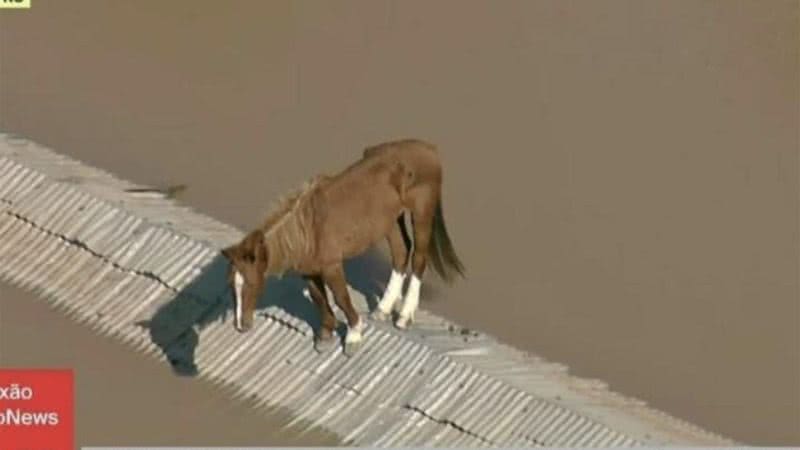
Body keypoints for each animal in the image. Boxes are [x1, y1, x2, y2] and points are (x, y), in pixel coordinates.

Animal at [222, 139, 466, 356]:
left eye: (250, 284)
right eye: (231, 286)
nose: (240, 326)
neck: (307, 230)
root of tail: (429, 148)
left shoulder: (332, 266)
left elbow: (341, 297)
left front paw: (353, 337)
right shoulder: (309, 271)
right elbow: (319, 298)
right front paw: (325, 336)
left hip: (421, 213)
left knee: (418, 258)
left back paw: (404, 317)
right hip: (390, 220)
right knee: (401, 252)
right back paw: (382, 310)